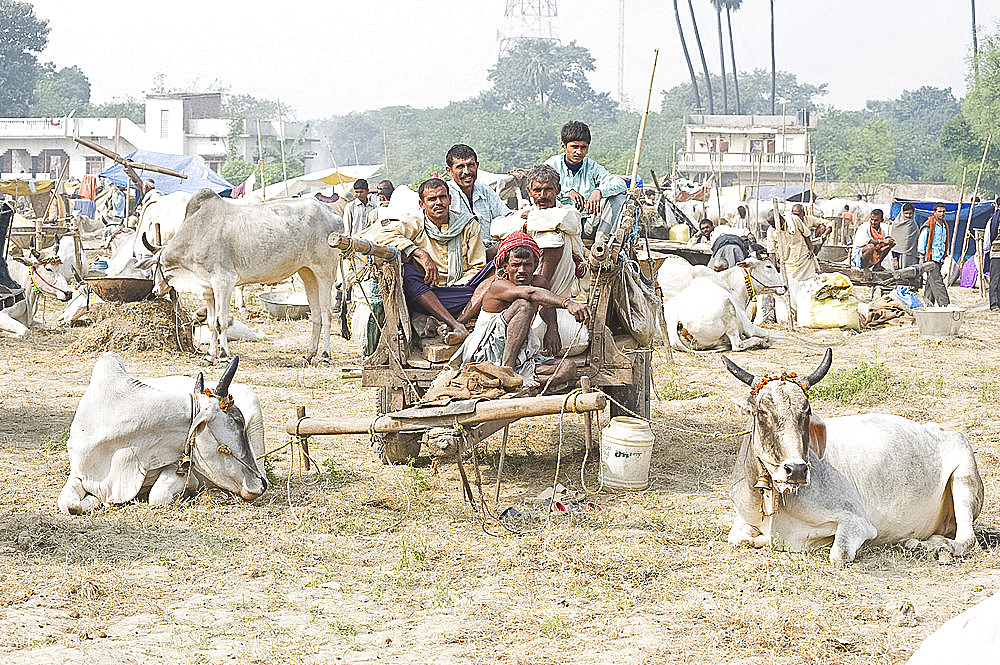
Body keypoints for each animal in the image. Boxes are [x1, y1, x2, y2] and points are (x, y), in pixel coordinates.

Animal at [56, 352, 264, 512]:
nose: (261, 484)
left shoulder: (180, 466)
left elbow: (158, 495)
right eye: (238, 420)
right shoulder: (78, 472)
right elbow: (68, 503)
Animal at [143, 187, 348, 364]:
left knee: (327, 314)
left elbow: (221, 322)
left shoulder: (224, 283)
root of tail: (332, 212)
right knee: (316, 315)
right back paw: (308, 355)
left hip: (325, 272)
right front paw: (209, 356)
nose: (155, 290)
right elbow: (210, 323)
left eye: (154, 267)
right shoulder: (208, 288)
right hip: (307, 273)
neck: (197, 234)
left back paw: (325, 356)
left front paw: (223, 357)